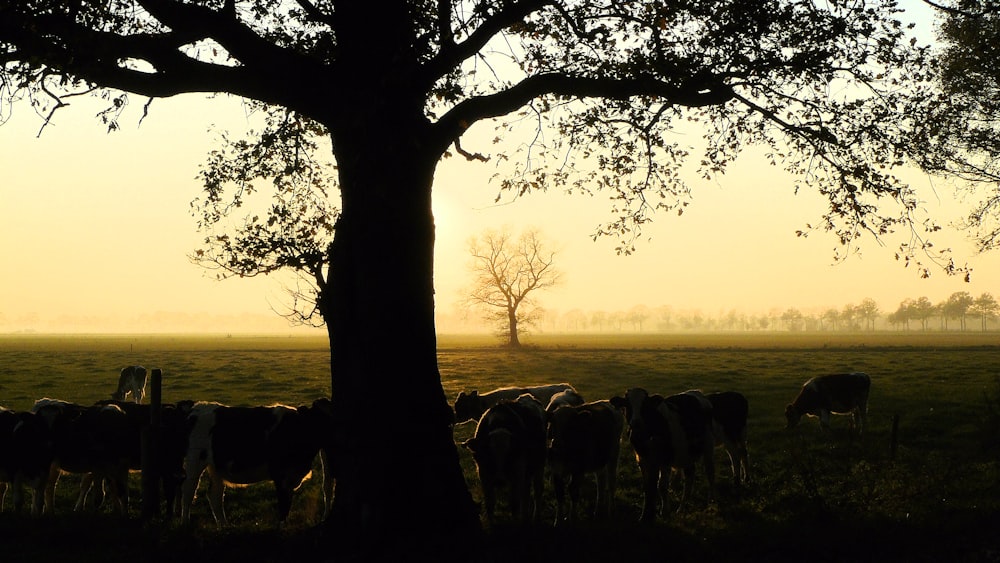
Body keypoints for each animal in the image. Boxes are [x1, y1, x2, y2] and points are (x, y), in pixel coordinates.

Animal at [180, 398, 332, 528]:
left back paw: (224, 526)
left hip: (216, 467)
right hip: (195, 461)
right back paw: (186, 524)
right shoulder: (281, 477)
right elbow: (283, 506)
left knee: (214, 496)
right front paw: (281, 529)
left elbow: (287, 505)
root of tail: (198, 406)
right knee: (188, 492)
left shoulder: (291, 477)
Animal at [460, 392, 548, 524]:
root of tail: (528, 396)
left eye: (510, 454)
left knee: (537, 491)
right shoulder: (484, 474)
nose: (499, 480)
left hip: (539, 465)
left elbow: (514, 504)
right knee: (526, 492)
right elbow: (490, 503)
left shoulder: (518, 473)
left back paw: (534, 517)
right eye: (488, 454)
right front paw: (491, 523)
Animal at [604, 388, 716, 524]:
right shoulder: (643, 460)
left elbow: (661, 486)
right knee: (690, 477)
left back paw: (710, 502)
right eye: (627, 405)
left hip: (708, 446)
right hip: (687, 453)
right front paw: (645, 516)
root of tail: (696, 392)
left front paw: (664, 512)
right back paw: (682, 508)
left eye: (645, 405)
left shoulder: (664, 460)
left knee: (710, 472)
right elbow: (648, 487)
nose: (636, 423)